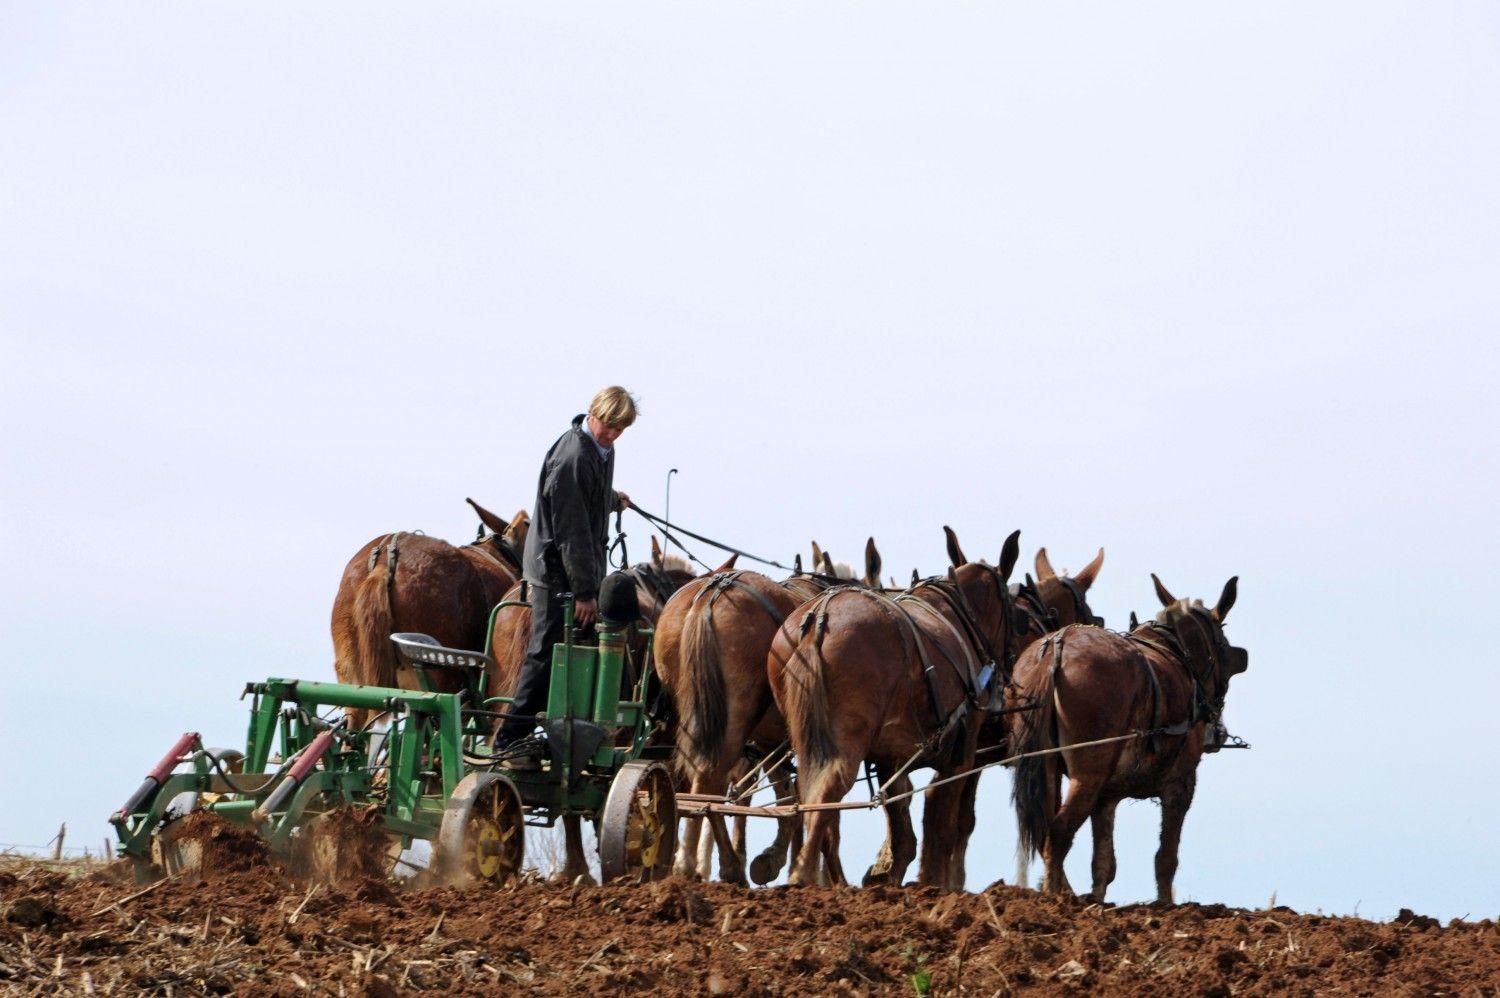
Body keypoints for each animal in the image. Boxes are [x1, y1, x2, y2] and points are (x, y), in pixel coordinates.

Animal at [774, 525, 1032, 882]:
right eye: (1016, 615)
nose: (1009, 669)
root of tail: (819, 620)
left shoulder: (890, 757)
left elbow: (903, 833)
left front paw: (886, 879)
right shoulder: (961, 754)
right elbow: (942, 827)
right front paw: (933, 884)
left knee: (810, 800)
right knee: (825, 796)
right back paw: (805, 876)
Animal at [1014, 573, 1248, 900]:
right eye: (1225, 649)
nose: (1218, 732)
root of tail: (1054, 651)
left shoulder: (1107, 797)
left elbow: (1103, 863)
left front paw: (1097, 902)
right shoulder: (1180, 785)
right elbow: (1165, 859)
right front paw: (1164, 905)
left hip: (1047, 769)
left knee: (1045, 831)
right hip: (1087, 777)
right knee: (1058, 835)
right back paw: (1055, 901)